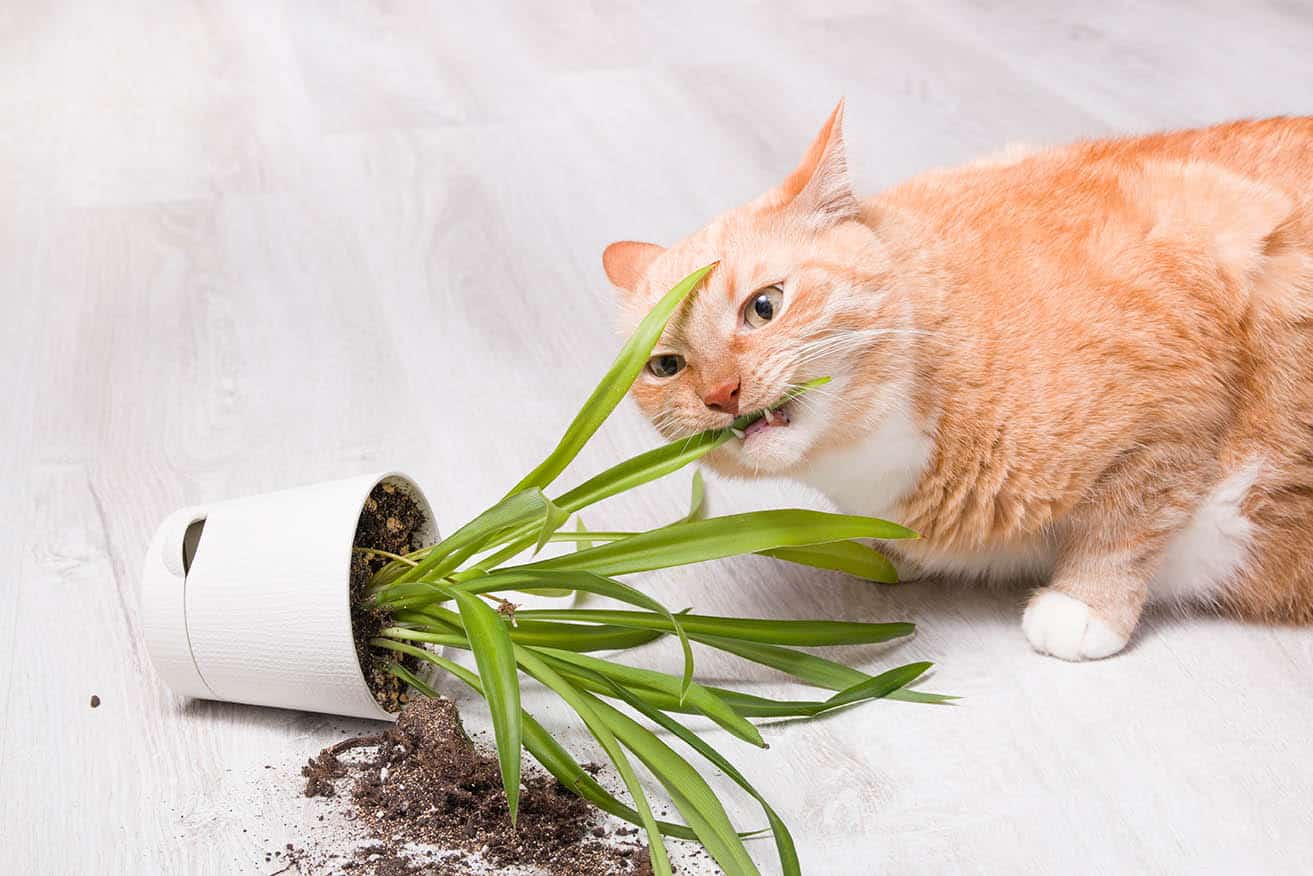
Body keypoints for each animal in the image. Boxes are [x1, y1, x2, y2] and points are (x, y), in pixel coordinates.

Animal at [601, 101, 1313, 656]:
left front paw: (1084, 606)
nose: (721, 394)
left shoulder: (1177, 383)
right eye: (667, 366)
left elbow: (1126, 519)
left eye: (764, 306)